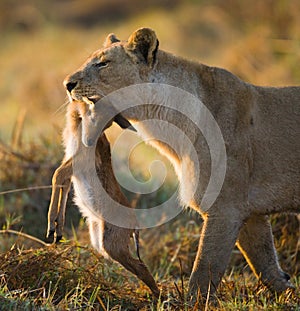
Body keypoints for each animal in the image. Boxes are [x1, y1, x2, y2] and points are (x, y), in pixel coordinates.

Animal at [45, 101, 159, 298]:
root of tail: (135, 226)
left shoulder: (76, 162)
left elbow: (56, 176)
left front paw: (51, 227)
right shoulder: (69, 160)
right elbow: (63, 184)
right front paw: (57, 231)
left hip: (113, 246)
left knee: (142, 268)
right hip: (101, 242)